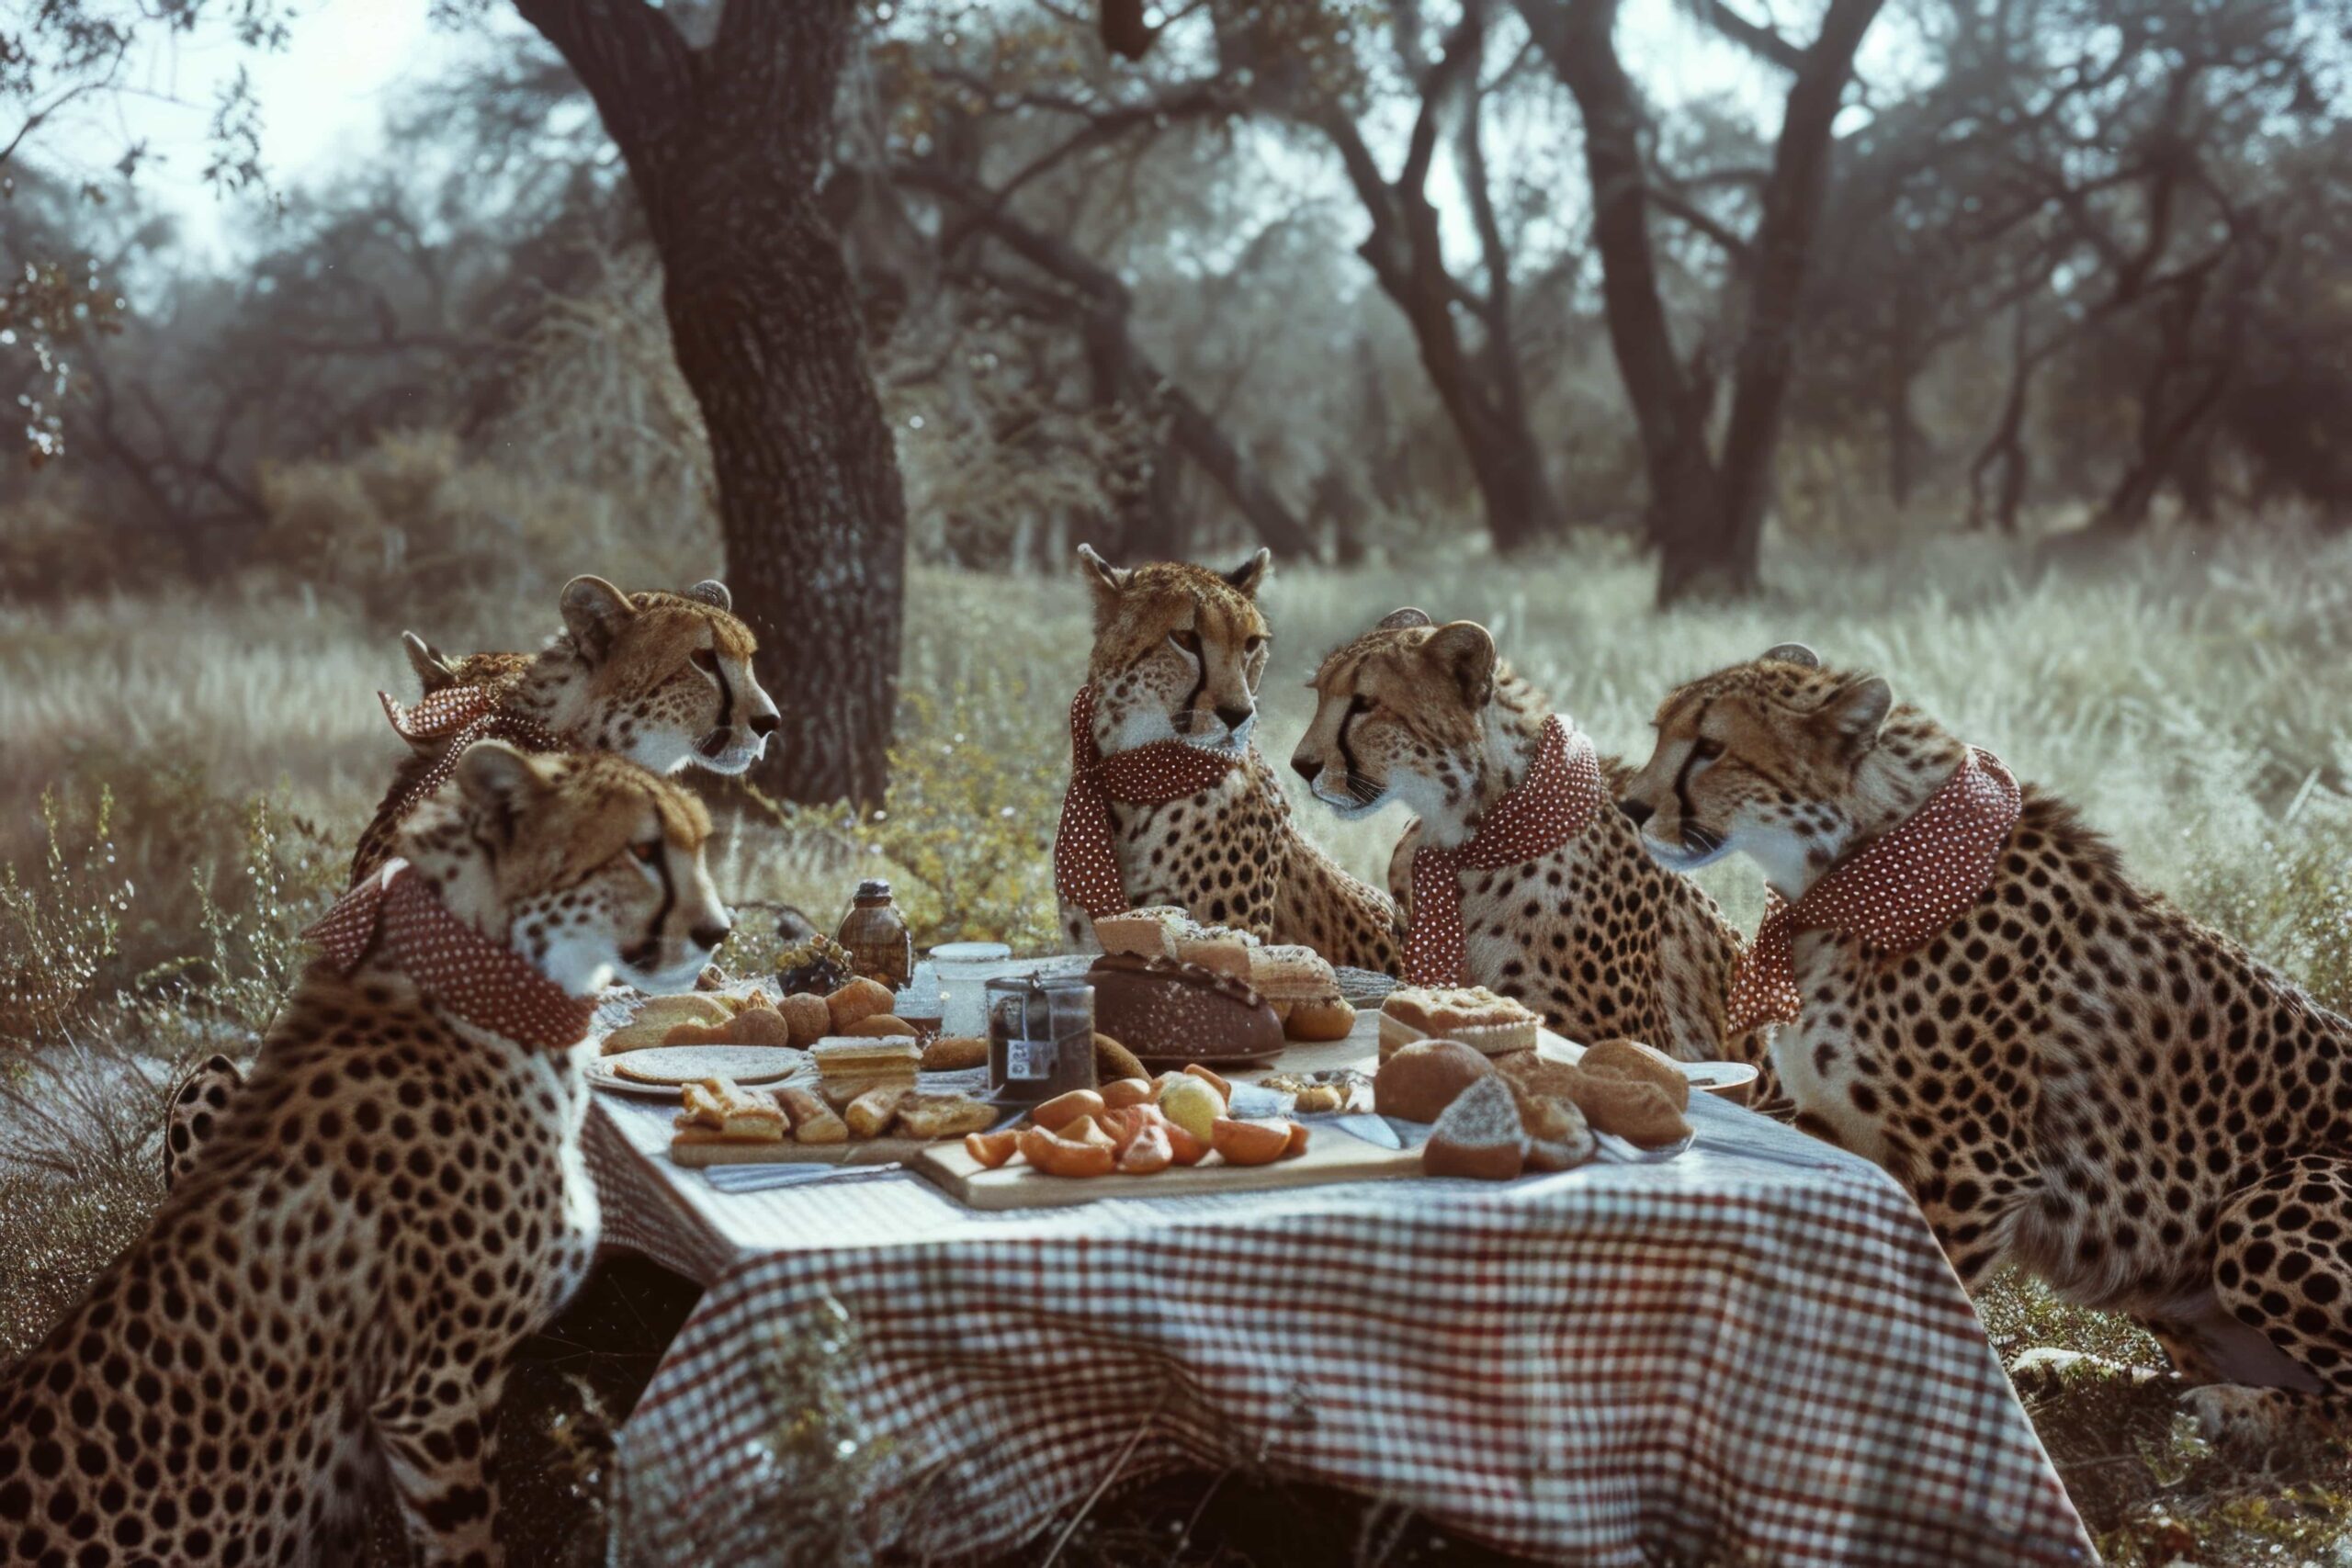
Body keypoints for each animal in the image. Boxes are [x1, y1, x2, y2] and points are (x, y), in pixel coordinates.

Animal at [1617, 642, 2352, 1449]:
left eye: (1712, 747)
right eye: (1661, 730)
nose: (1629, 808)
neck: (1845, 870)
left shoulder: (1974, 1165)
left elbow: (1918, 1316)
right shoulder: (1833, 1137)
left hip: (2263, 1203)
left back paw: (2234, 1408)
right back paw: (2074, 1367)